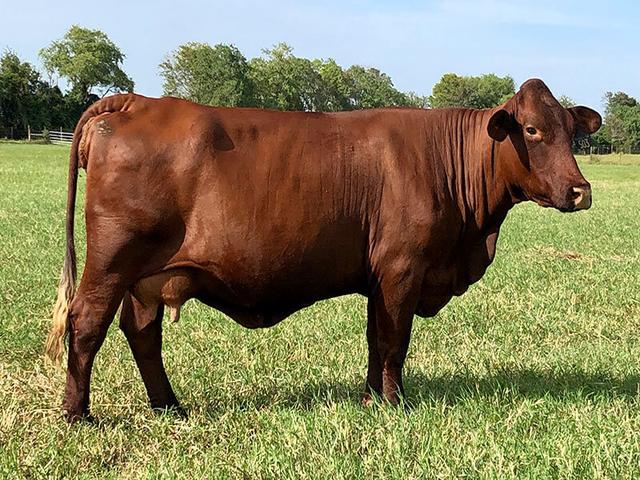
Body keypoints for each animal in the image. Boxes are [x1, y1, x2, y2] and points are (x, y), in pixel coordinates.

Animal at [45, 79, 601, 422]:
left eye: (572, 131)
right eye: (531, 129)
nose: (580, 191)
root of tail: (136, 101)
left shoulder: (380, 277)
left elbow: (377, 339)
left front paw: (372, 399)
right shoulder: (402, 269)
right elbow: (395, 340)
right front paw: (396, 404)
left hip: (147, 276)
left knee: (141, 331)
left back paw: (168, 407)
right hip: (112, 261)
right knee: (88, 323)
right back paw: (78, 415)